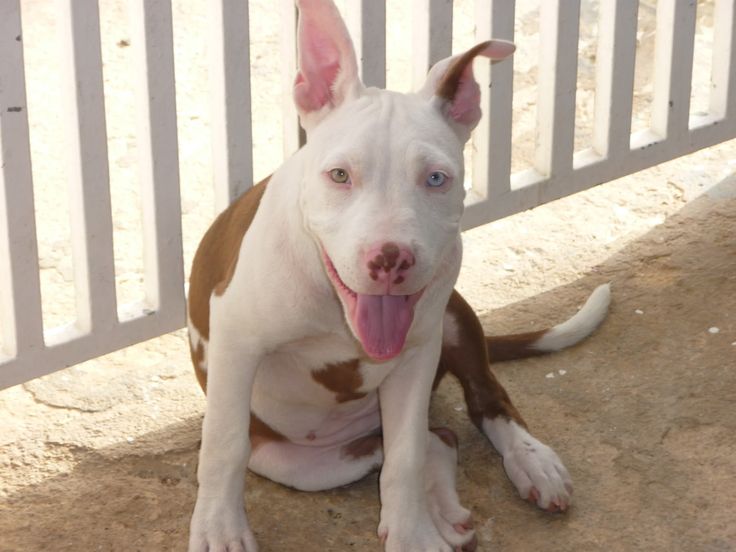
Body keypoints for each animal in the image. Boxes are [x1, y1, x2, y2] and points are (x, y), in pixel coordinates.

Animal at [188, 2, 608, 548]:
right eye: (340, 175)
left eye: (436, 178)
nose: (391, 259)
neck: (335, 307)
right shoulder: (236, 340)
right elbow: (224, 443)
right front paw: (220, 528)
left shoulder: (416, 353)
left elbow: (405, 458)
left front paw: (410, 533)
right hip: (295, 458)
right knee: (428, 440)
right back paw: (448, 513)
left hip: (453, 317)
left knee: (472, 407)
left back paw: (525, 466)